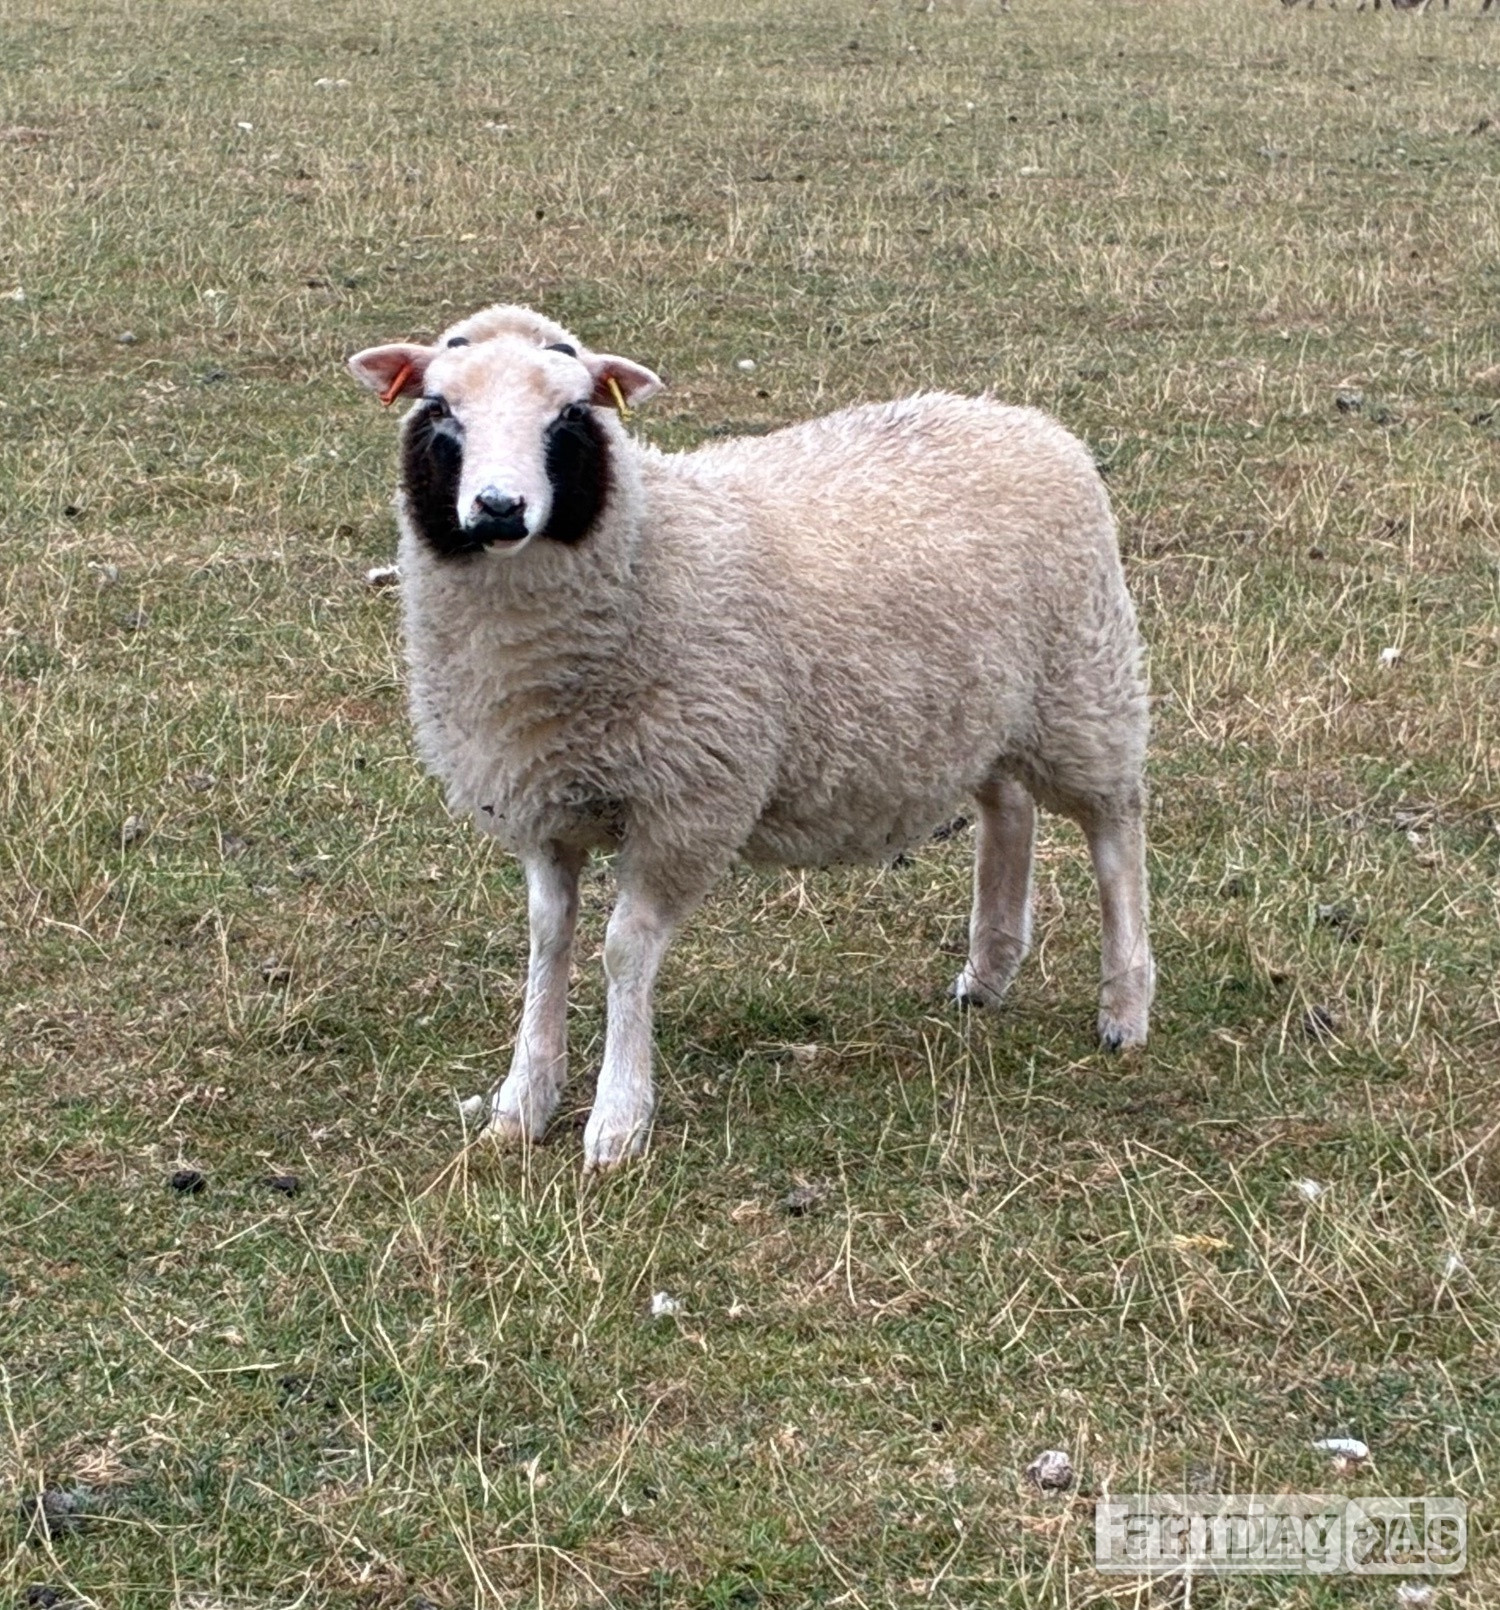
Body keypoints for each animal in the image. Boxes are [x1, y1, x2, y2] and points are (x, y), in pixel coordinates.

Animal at [348, 305, 1155, 1170]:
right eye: (440, 409)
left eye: (569, 414)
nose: (499, 508)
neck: (647, 546)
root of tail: (1019, 418)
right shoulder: (541, 807)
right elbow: (546, 940)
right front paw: (521, 1103)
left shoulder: (685, 807)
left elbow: (624, 949)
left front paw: (618, 1121)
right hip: (978, 707)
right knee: (1009, 808)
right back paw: (988, 972)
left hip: (1084, 685)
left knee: (1115, 833)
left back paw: (1125, 1008)